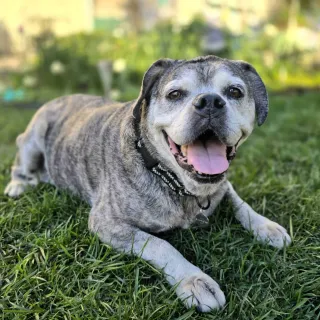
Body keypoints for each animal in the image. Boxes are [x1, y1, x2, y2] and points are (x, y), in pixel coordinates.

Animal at [5, 56, 292, 312]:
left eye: (234, 91)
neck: (175, 180)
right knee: (20, 164)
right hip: (32, 137)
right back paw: (18, 186)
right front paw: (195, 281)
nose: (210, 101)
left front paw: (266, 227)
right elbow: (160, 245)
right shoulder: (108, 222)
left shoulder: (221, 187)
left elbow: (240, 203)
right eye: (175, 94)